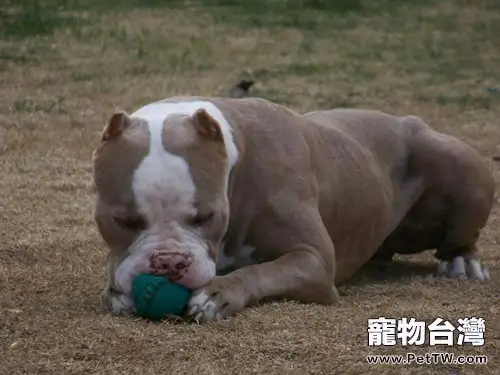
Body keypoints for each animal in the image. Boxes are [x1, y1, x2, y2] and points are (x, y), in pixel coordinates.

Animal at [92, 96, 494, 324]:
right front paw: (116, 292)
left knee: (461, 233)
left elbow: (263, 271)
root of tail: (404, 120)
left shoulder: (314, 258)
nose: (168, 263)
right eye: (124, 220)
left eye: (206, 216)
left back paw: (461, 261)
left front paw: (218, 293)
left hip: (454, 158)